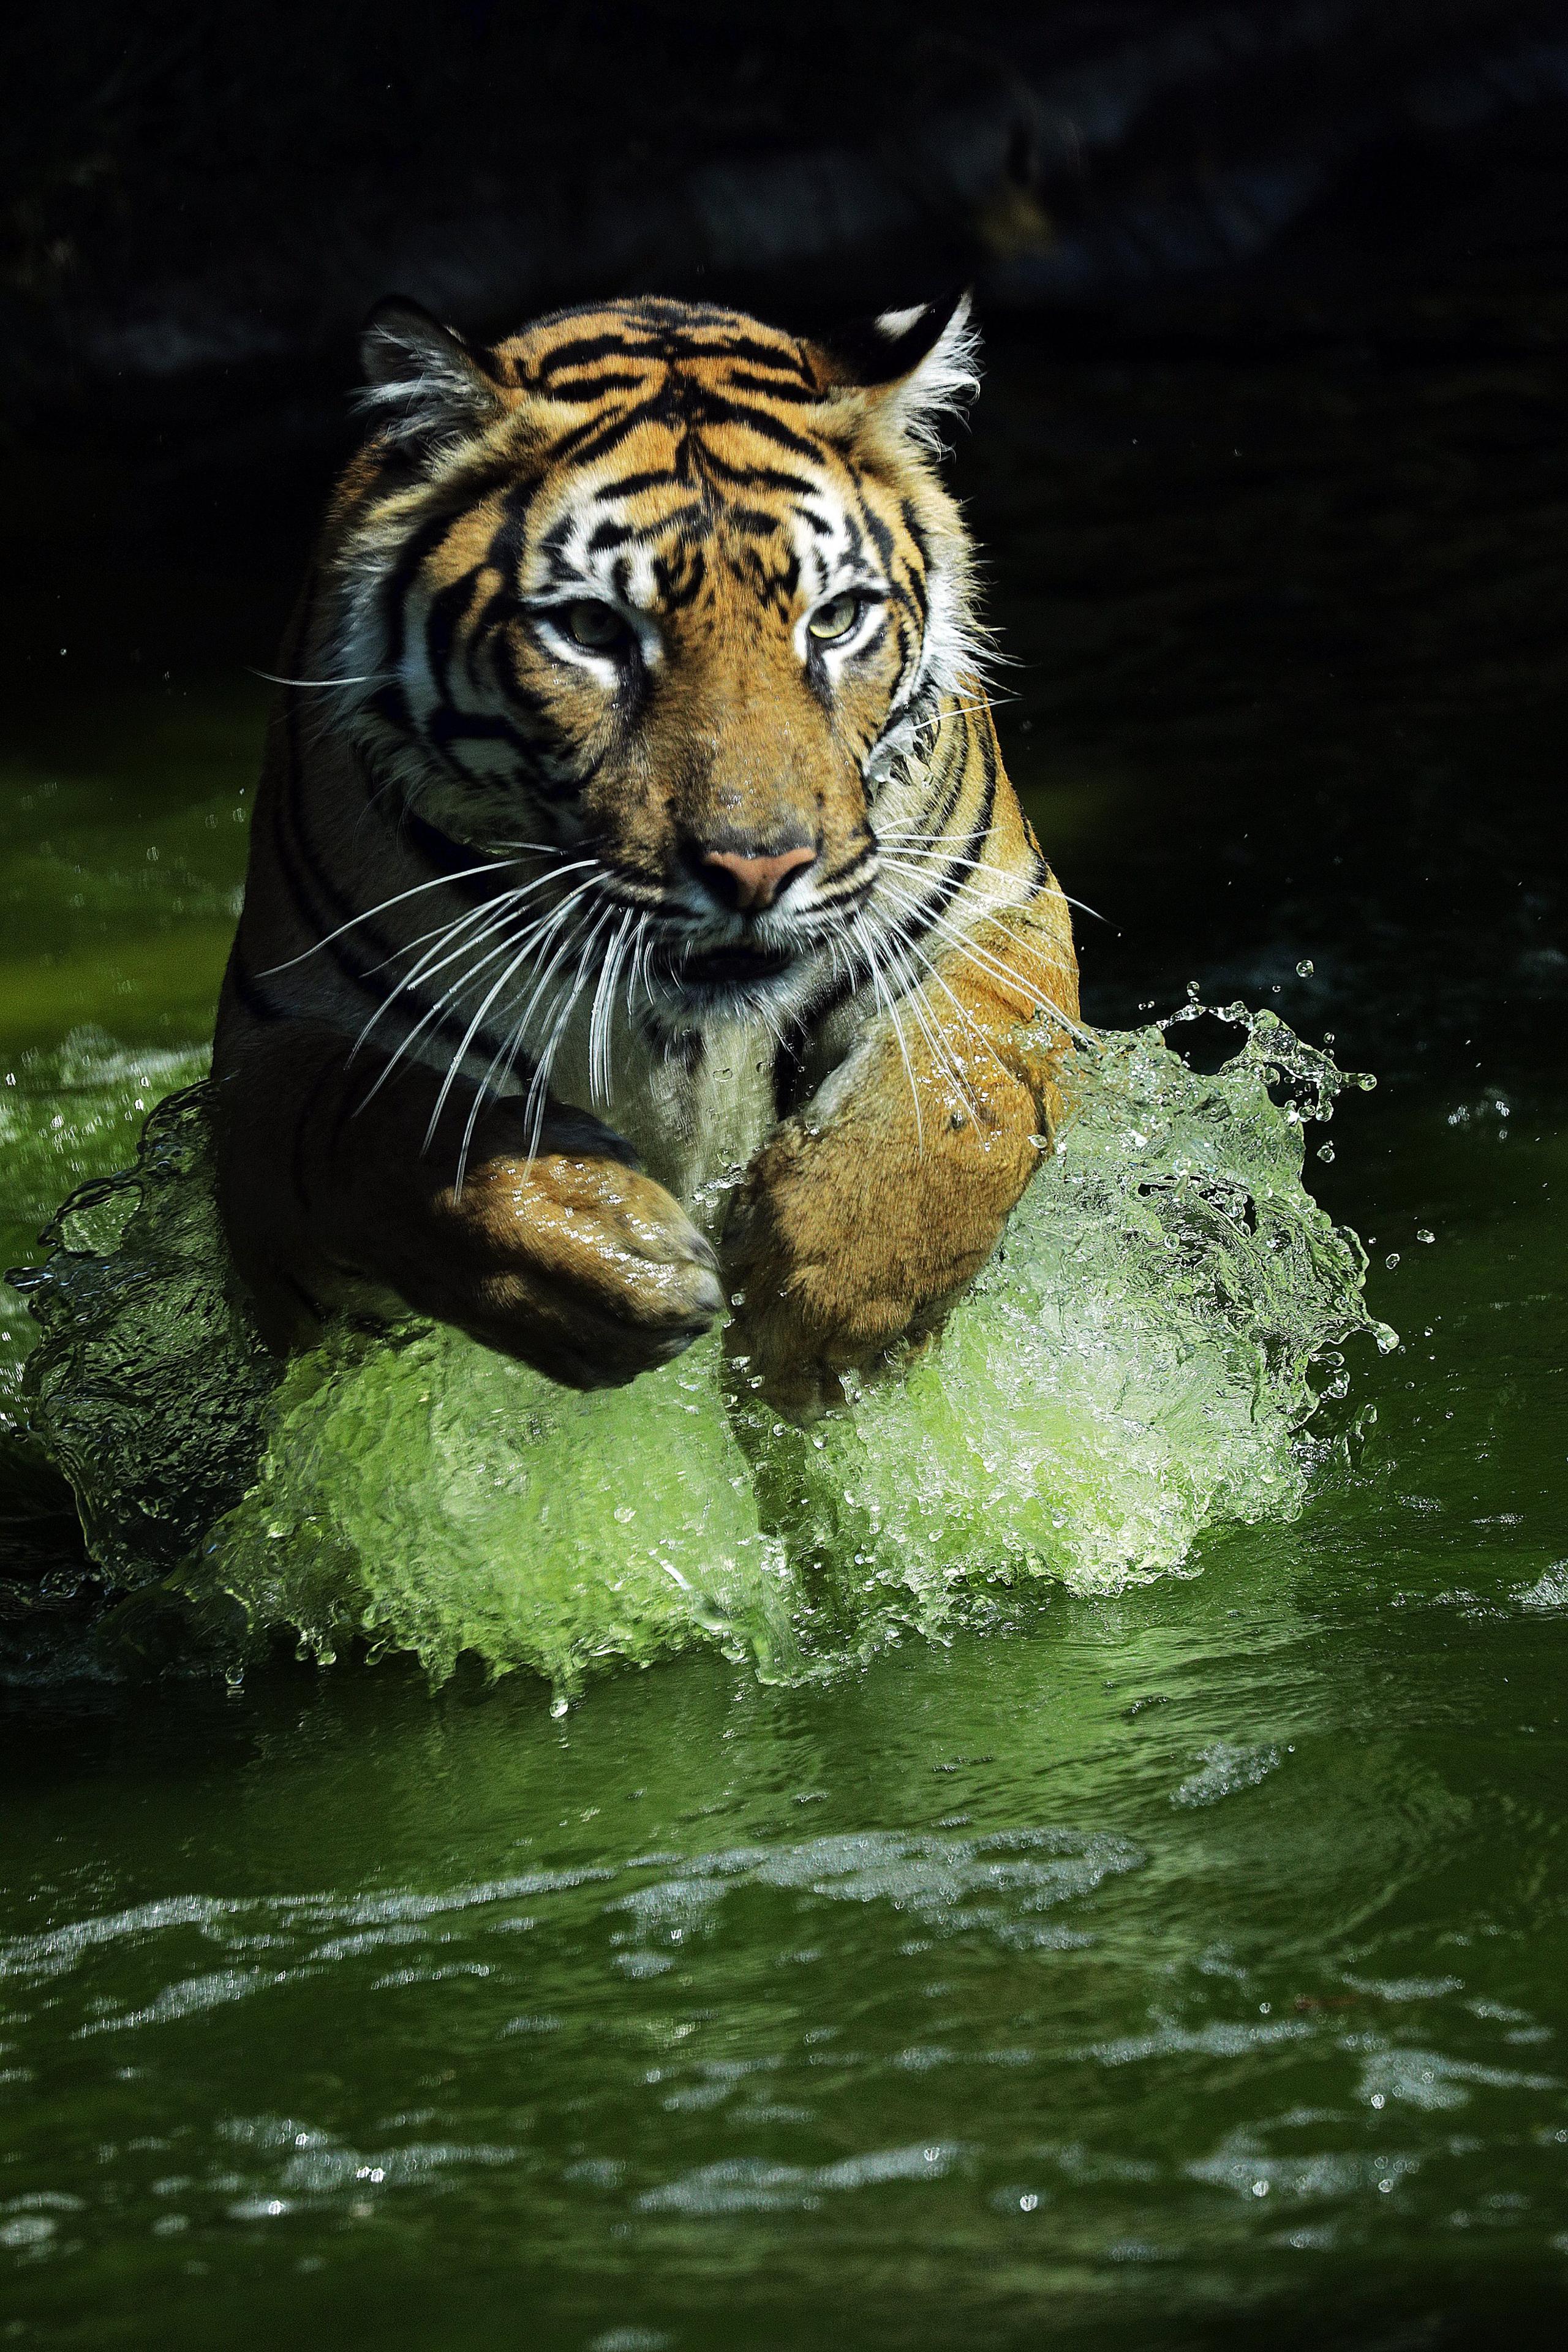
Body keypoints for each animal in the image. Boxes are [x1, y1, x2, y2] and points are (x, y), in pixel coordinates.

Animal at [211, 282, 1081, 1401]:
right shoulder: (275, 1052)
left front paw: (829, 1295)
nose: (758, 867)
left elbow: (961, 1104)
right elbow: (384, 1133)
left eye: (834, 620)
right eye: (592, 630)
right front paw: (591, 1246)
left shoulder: (992, 911)